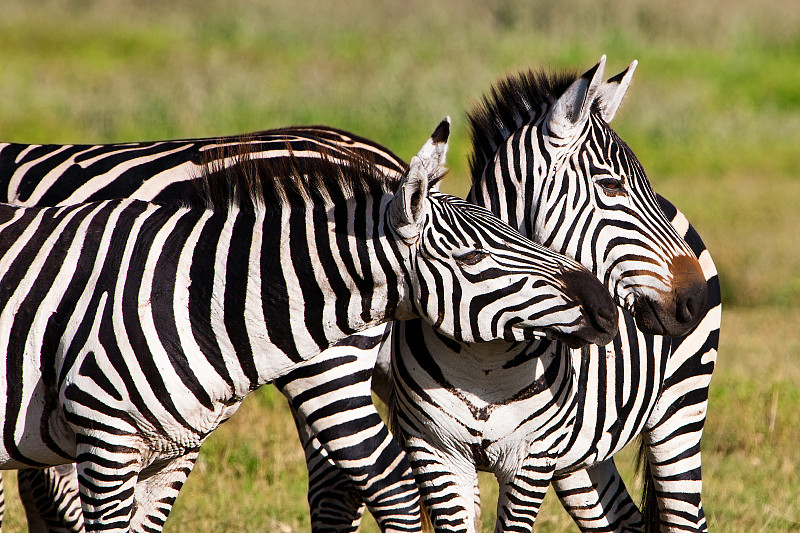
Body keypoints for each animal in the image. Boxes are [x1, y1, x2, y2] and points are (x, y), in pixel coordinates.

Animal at [388, 55, 720, 532]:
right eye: (611, 186)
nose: (696, 298)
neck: (483, 357)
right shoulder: (434, 451)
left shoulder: (532, 459)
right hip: (583, 456)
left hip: (680, 407)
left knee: (686, 517)